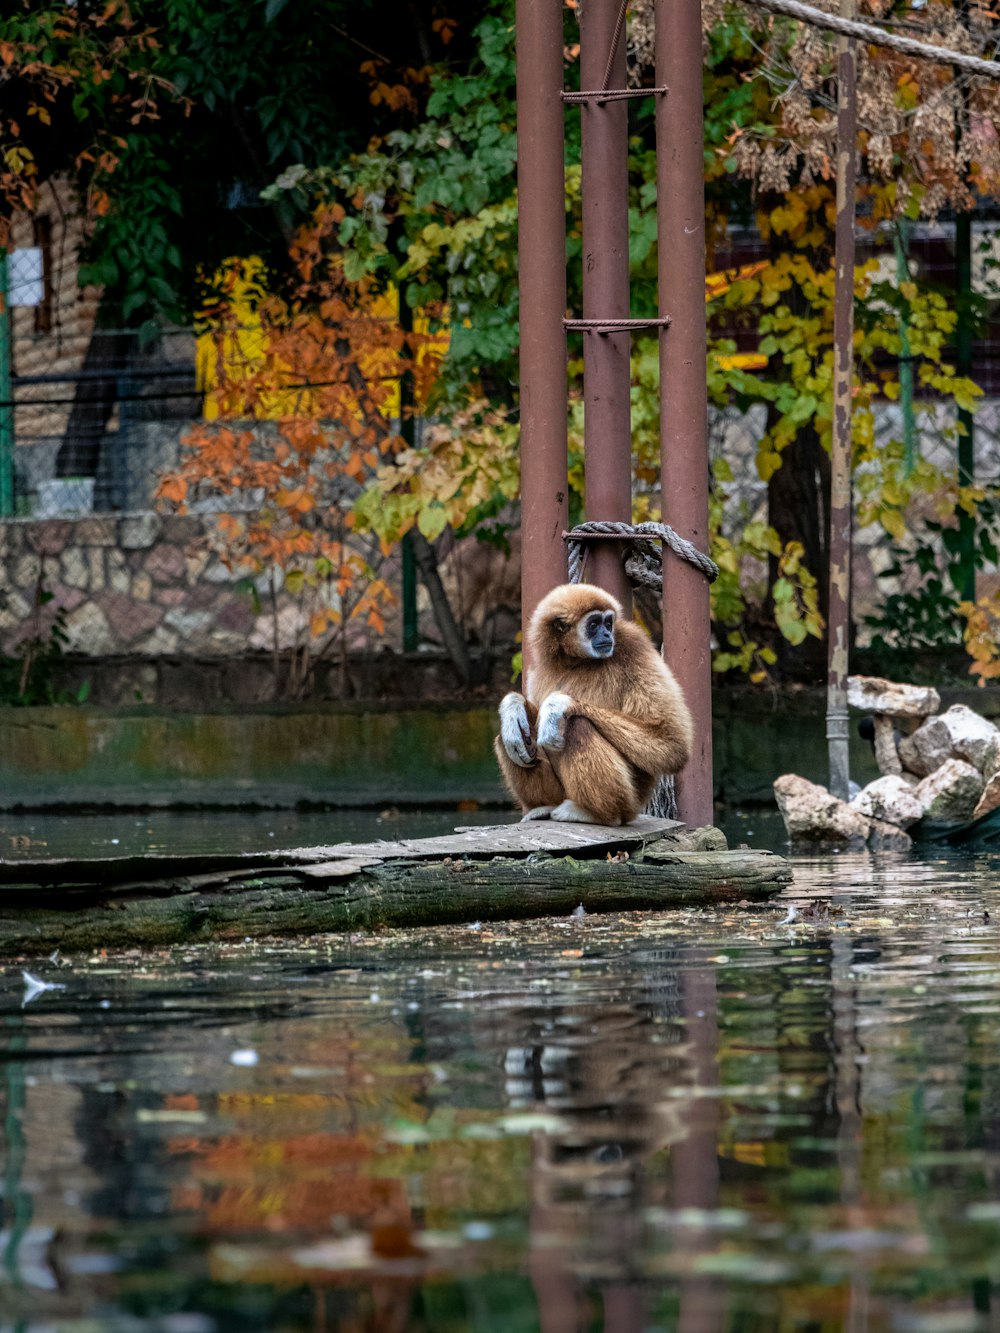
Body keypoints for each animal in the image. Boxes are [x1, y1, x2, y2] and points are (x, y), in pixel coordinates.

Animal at [496, 583, 698, 821]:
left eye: (608, 623)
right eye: (594, 624)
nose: (607, 633)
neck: (577, 661)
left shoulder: (634, 645)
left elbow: (671, 743)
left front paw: (557, 705)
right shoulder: (540, 665)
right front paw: (513, 706)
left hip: (630, 799)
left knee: (577, 725)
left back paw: (594, 813)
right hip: (561, 792)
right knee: (511, 735)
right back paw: (543, 806)